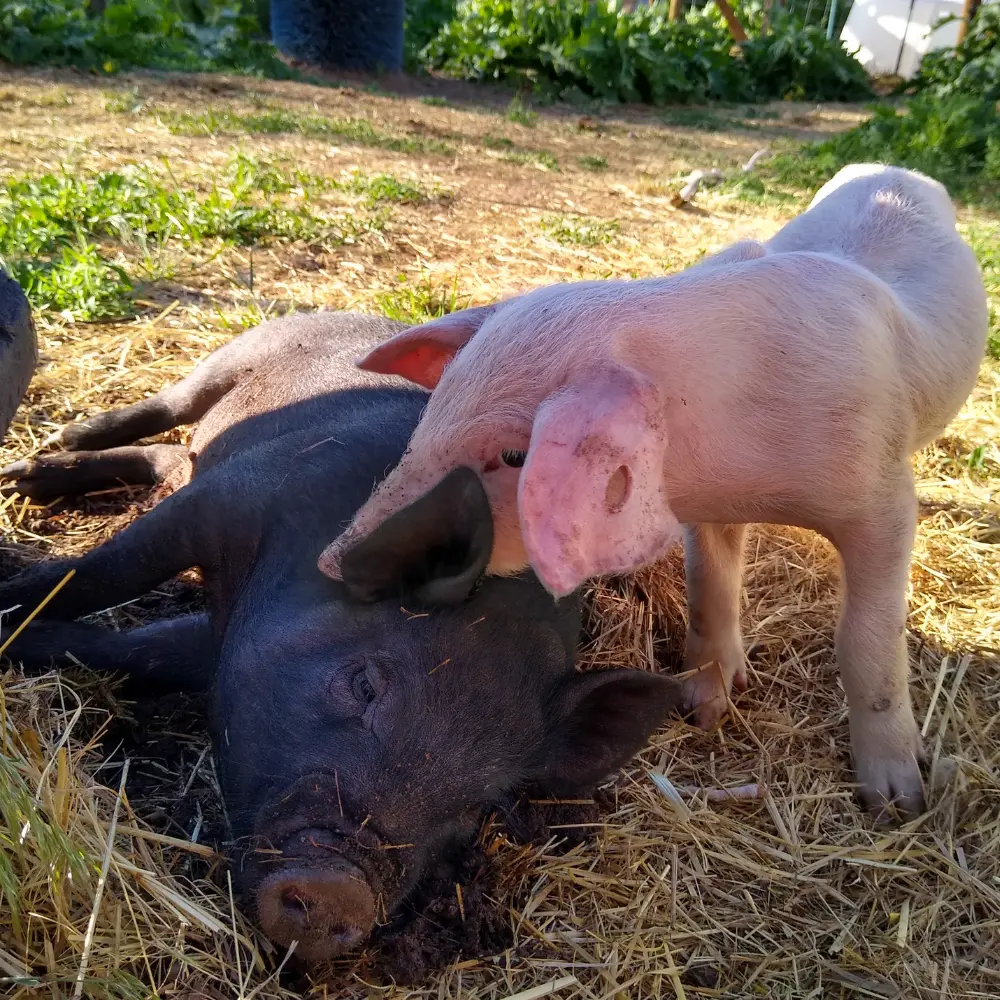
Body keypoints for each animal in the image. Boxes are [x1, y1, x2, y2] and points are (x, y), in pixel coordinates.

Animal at [0, 311, 682, 963]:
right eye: (364, 685)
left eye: (477, 804)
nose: (341, 892)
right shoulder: (232, 497)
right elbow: (101, 573)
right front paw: (13, 603)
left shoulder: (222, 637)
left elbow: (137, 651)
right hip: (232, 359)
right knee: (169, 410)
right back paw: (44, 458)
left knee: (168, 460)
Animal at [316, 164, 990, 822]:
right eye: (437, 408)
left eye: (514, 456)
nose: (331, 560)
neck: (741, 471)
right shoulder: (705, 512)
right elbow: (708, 592)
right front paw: (704, 713)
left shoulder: (882, 497)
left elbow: (868, 637)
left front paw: (896, 804)